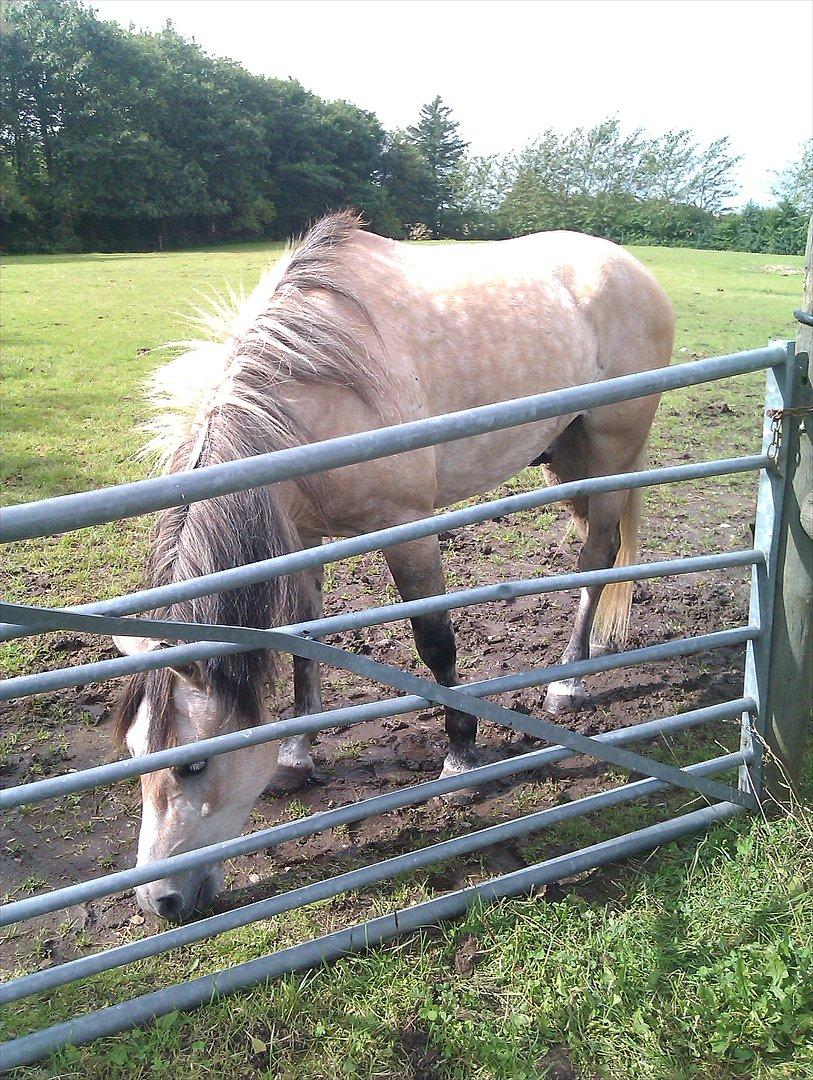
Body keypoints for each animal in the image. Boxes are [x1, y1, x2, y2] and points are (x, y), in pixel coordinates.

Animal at [112, 210, 673, 920]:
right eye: (135, 753)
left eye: (193, 765)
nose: (157, 902)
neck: (314, 387)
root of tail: (630, 266)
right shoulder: (305, 539)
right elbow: (304, 645)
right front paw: (296, 754)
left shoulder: (408, 530)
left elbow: (435, 642)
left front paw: (460, 758)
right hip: (567, 453)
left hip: (610, 448)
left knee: (598, 552)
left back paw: (570, 680)